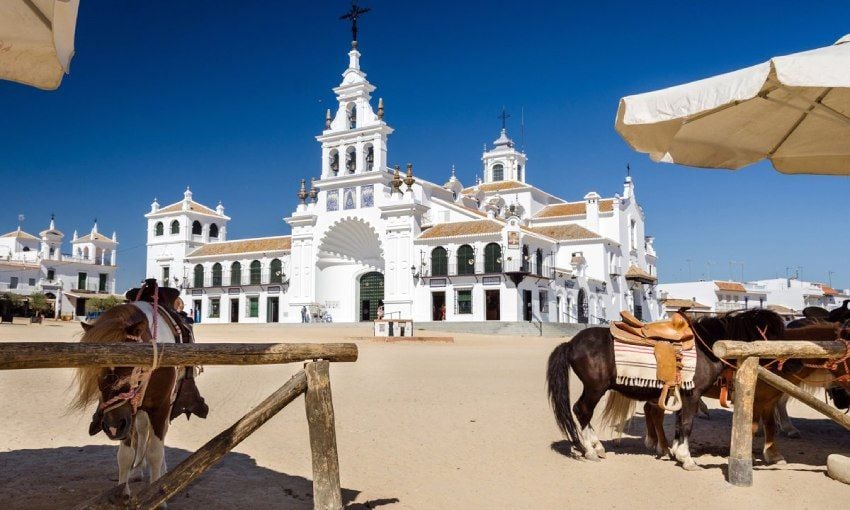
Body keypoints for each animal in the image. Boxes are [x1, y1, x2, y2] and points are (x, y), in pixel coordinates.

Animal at [71, 300, 179, 504]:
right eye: (95, 367)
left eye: (131, 364)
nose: (112, 427)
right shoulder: (126, 416)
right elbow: (125, 455)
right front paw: (122, 492)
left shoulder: (159, 408)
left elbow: (155, 452)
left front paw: (158, 494)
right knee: (142, 433)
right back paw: (137, 471)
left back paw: (162, 470)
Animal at [548, 306, 780, 470]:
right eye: (774, 335)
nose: (781, 363)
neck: (707, 348)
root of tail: (570, 344)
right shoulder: (692, 394)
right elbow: (686, 424)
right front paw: (687, 459)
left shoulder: (682, 395)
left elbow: (679, 423)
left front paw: (676, 451)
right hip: (595, 388)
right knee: (581, 410)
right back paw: (590, 450)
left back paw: (597, 446)